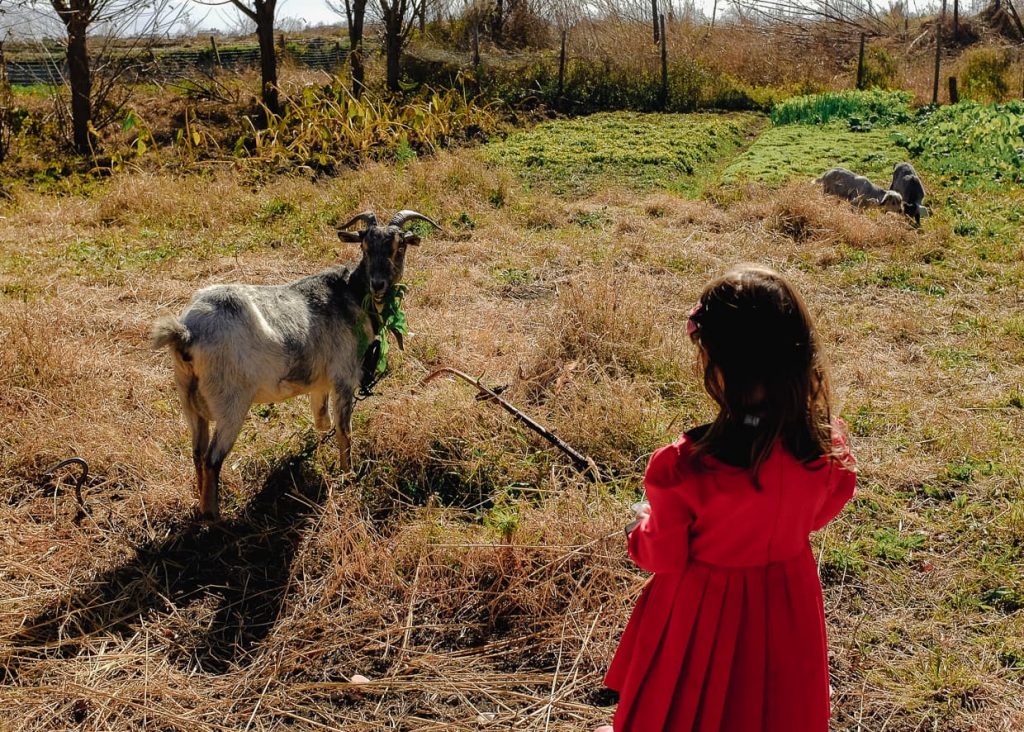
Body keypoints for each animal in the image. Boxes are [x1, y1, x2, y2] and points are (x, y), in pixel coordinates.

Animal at [151, 208, 440, 518]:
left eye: (399, 246)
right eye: (364, 246)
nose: (378, 284)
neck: (351, 295)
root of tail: (186, 332)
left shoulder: (320, 382)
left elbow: (323, 421)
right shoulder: (344, 376)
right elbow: (344, 431)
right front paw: (348, 473)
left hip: (189, 401)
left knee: (196, 453)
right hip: (231, 403)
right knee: (211, 459)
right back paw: (213, 516)